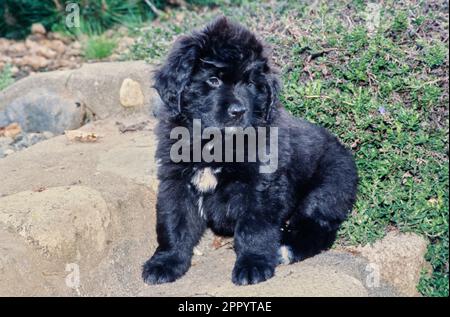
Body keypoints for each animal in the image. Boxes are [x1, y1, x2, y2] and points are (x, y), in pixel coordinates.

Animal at [142, 16, 356, 286]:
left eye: (251, 83)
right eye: (213, 80)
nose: (238, 111)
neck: (214, 143)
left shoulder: (260, 187)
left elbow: (253, 228)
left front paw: (253, 264)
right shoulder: (176, 181)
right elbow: (173, 224)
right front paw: (166, 262)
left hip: (327, 190)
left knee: (319, 226)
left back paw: (286, 249)